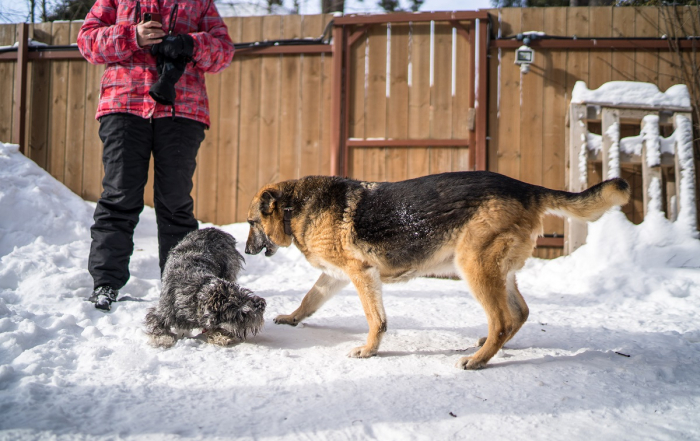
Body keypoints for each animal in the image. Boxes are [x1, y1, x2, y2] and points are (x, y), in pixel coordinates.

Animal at [246, 172, 628, 368]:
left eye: (251, 223)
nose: (247, 251)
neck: (294, 207)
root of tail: (526, 188)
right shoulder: (335, 277)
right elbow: (309, 299)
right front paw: (292, 318)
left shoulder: (361, 274)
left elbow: (375, 319)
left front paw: (370, 350)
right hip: (498, 273)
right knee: (518, 314)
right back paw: (490, 346)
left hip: (473, 267)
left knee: (502, 320)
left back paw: (478, 360)